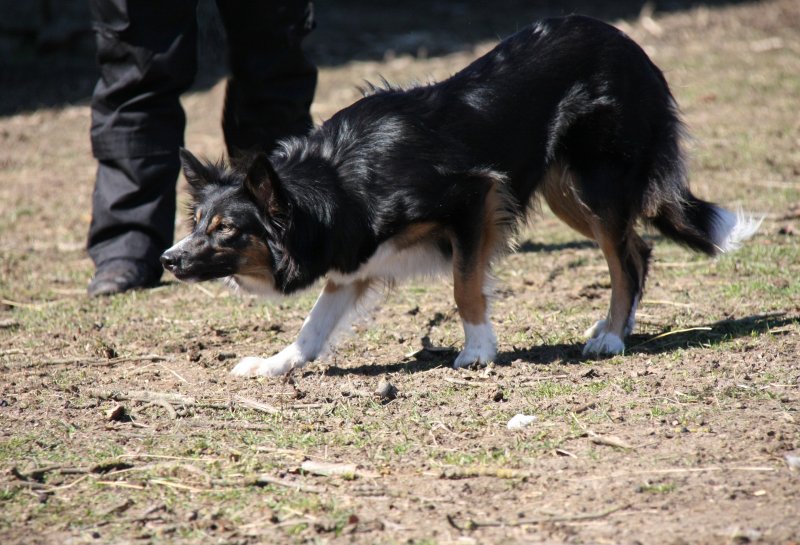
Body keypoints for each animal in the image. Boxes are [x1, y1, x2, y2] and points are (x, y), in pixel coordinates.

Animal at [161, 15, 760, 377]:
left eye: (227, 230)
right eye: (196, 223)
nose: (168, 260)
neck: (337, 183)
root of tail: (629, 44)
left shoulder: (475, 198)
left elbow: (464, 287)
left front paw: (477, 350)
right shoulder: (354, 261)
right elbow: (313, 327)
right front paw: (276, 364)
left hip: (599, 183)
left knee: (624, 258)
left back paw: (610, 338)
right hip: (565, 190)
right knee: (639, 250)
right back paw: (617, 327)